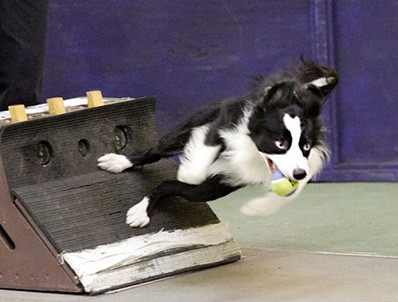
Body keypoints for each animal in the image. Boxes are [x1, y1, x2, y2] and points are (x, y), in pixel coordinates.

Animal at [98, 59, 338, 228]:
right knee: (156, 151)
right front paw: (188, 167)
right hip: (188, 128)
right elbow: (197, 165)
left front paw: (258, 208)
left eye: (306, 146)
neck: (254, 152)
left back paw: (140, 212)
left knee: (169, 186)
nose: (298, 173)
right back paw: (118, 164)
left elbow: (294, 190)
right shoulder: (224, 122)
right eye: (280, 143)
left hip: (210, 190)